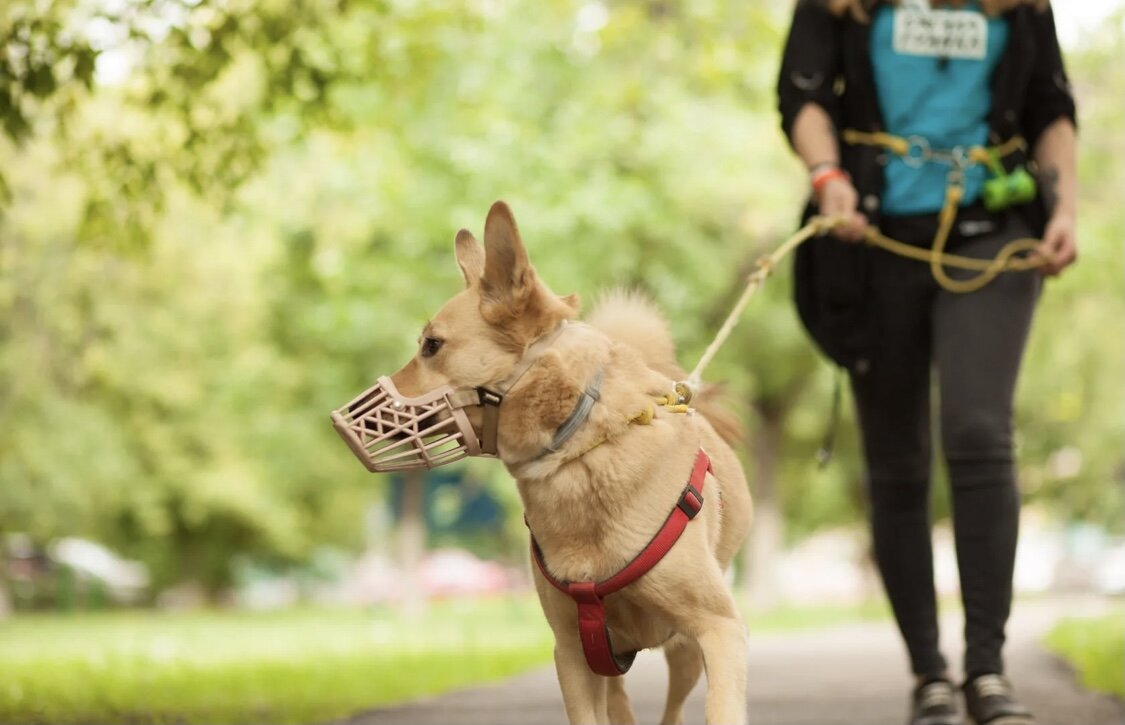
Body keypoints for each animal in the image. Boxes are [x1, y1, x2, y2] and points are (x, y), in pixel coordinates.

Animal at [389, 201, 756, 720]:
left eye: (432, 346)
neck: (579, 452)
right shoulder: (573, 653)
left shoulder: (719, 631)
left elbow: (720, 708)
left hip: (684, 651)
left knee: (673, 709)